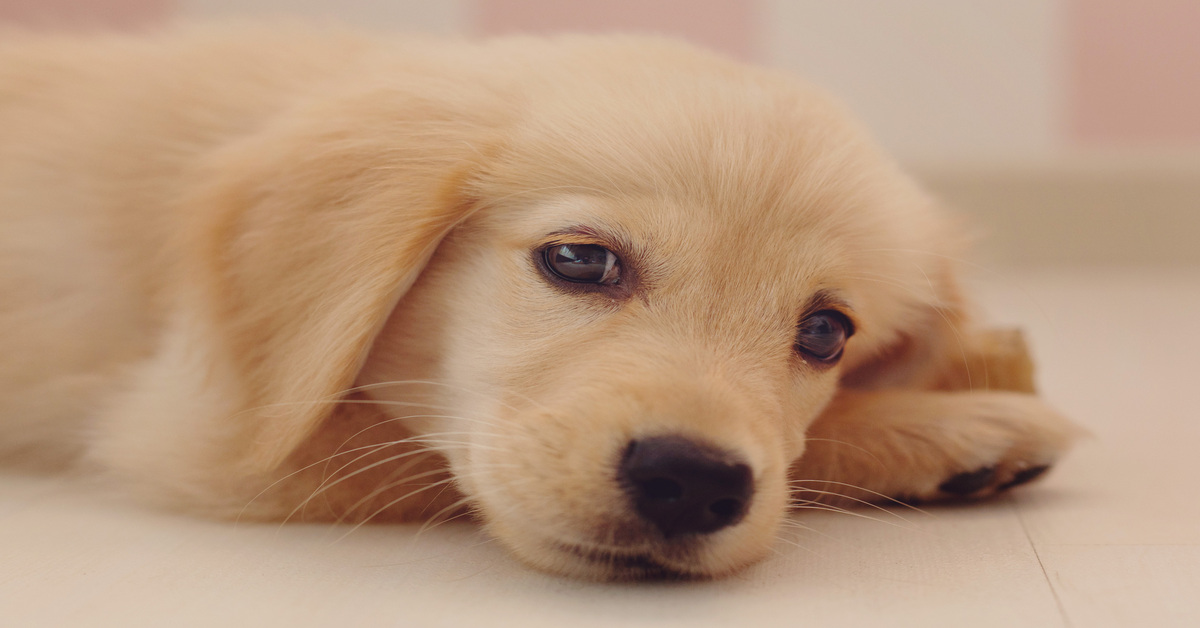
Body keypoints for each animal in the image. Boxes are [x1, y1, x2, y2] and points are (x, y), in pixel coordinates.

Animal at [0, 27, 1080, 583]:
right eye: (578, 261)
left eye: (825, 332)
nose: (690, 480)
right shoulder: (205, 431)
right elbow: (428, 460)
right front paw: (962, 420)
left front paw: (974, 372)